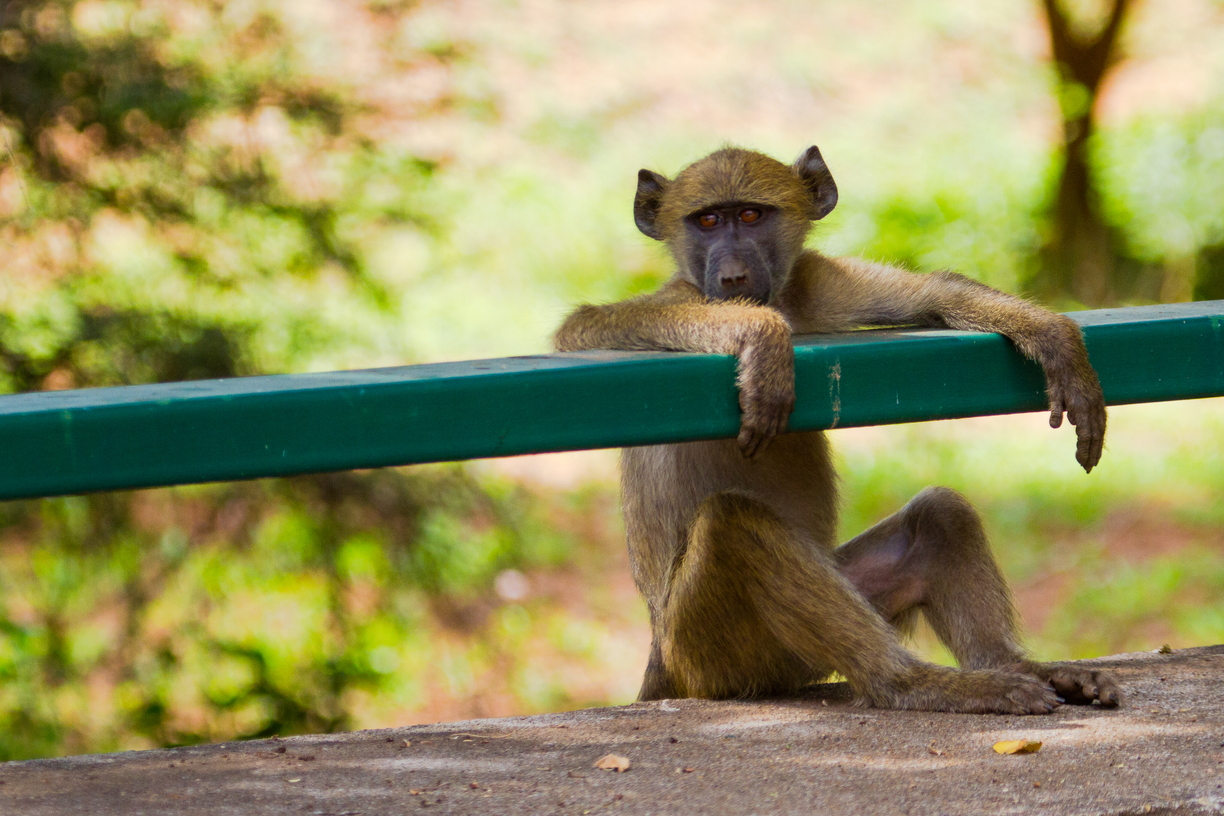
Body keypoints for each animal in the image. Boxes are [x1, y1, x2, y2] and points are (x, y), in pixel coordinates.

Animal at [553, 146, 1120, 714]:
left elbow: (936, 291)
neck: (782, 302)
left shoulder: (820, 284)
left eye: (751, 215)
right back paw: (914, 684)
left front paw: (1055, 340)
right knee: (731, 523)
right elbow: (584, 327)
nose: (733, 278)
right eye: (707, 221)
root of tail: (661, 654)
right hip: (707, 652)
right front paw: (760, 334)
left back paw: (1016, 666)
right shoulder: (681, 296)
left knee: (940, 517)